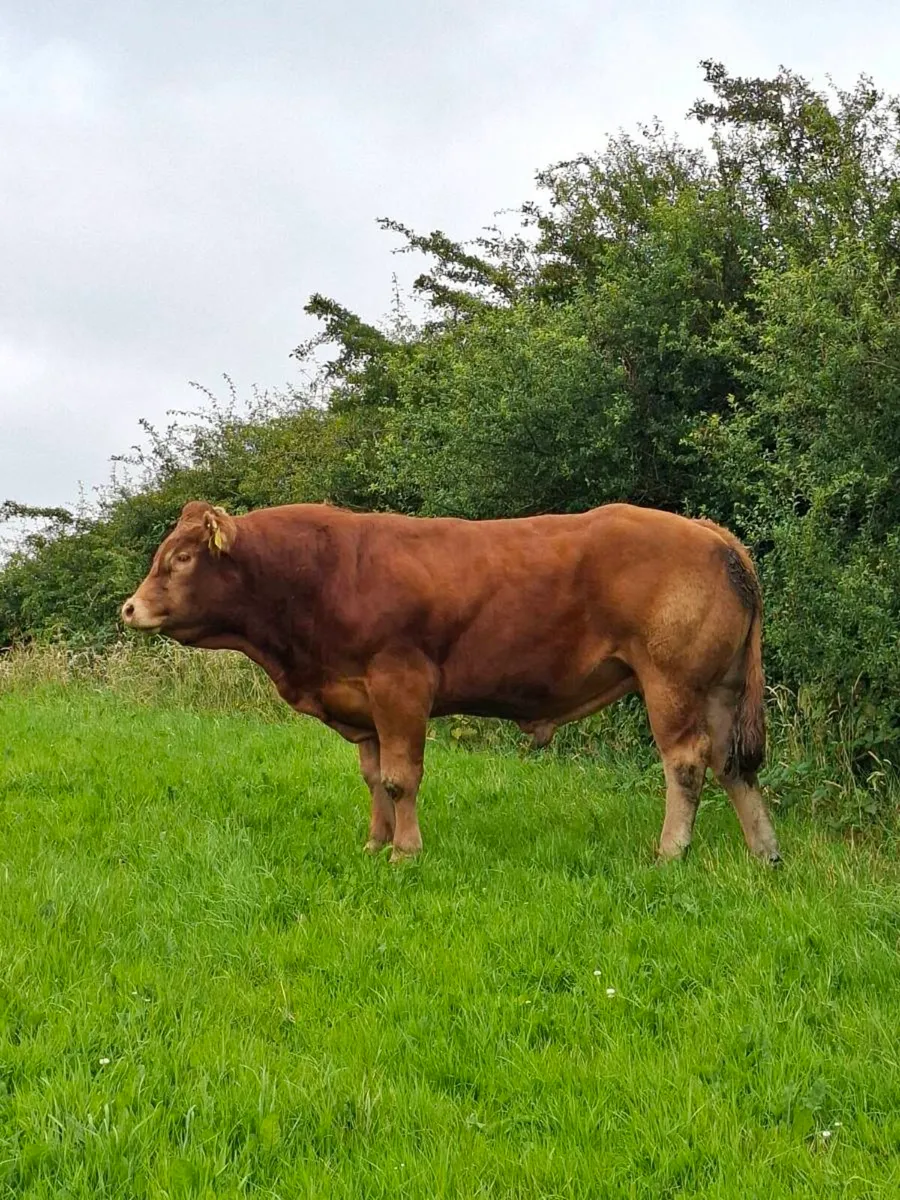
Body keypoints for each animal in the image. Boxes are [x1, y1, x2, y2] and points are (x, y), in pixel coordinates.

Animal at [121, 501, 781, 866]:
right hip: (718, 688)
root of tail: (711, 532)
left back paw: (670, 852)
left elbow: (401, 777)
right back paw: (764, 854)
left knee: (687, 763)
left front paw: (405, 852)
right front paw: (375, 843)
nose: (130, 608)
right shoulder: (362, 700)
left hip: (671, 681)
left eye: (181, 557)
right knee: (733, 766)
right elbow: (373, 779)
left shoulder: (400, 683)